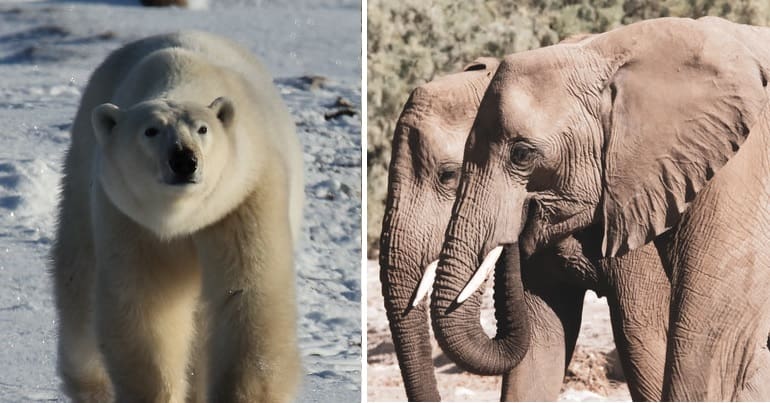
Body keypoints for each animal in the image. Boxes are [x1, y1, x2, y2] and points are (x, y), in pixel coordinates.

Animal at [51, 31, 303, 403]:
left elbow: (246, 295)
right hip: (83, 174)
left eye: (202, 129)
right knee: (78, 280)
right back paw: (91, 385)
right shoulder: (131, 217)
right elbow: (147, 304)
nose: (184, 160)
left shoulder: (244, 196)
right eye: (150, 131)